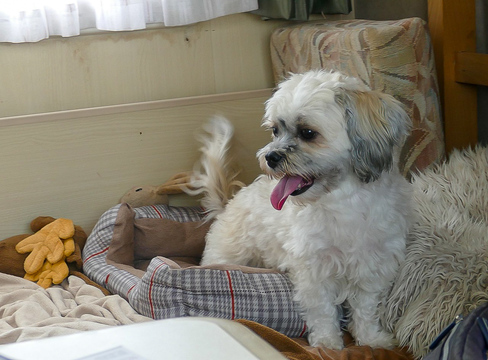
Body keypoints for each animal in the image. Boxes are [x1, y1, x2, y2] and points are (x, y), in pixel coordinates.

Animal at [191, 69, 412, 348]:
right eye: (275, 130)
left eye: (307, 132)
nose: (271, 156)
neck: (343, 201)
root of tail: (227, 205)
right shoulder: (314, 270)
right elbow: (322, 310)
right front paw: (328, 343)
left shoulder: (373, 265)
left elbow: (366, 307)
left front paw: (370, 339)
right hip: (227, 257)